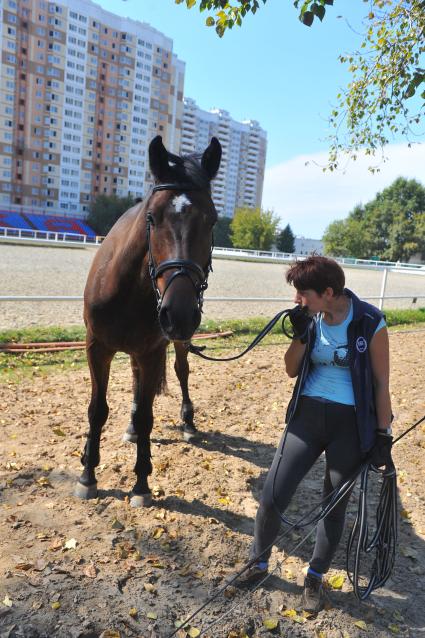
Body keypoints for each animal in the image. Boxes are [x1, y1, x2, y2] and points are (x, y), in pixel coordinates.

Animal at [73, 136, 222, 510]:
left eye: (212, 220)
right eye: (152, 218)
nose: (178, 313)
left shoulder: (153, 351)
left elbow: (147, 417)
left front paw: (141, 483)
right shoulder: (97, 348)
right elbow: (97, 410)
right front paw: (87, 474)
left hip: (176, 343)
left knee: (181, 372)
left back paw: (188, 421)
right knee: (137, 381)